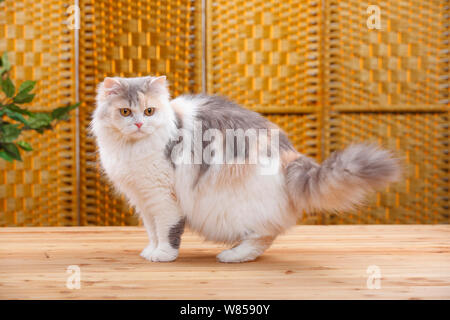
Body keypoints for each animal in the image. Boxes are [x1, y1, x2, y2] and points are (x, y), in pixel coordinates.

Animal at [91, 75, 400, 262]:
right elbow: (153, 231)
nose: (138, 124)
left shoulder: (163, 198)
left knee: (264, 236)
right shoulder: (144, 200)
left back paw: (232, 256)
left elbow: (168, 231)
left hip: (239, 207)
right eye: (125, 112)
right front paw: (150, 250)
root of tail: (289, 152)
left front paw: (164, 255)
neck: (131, 148)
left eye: (150, 111)